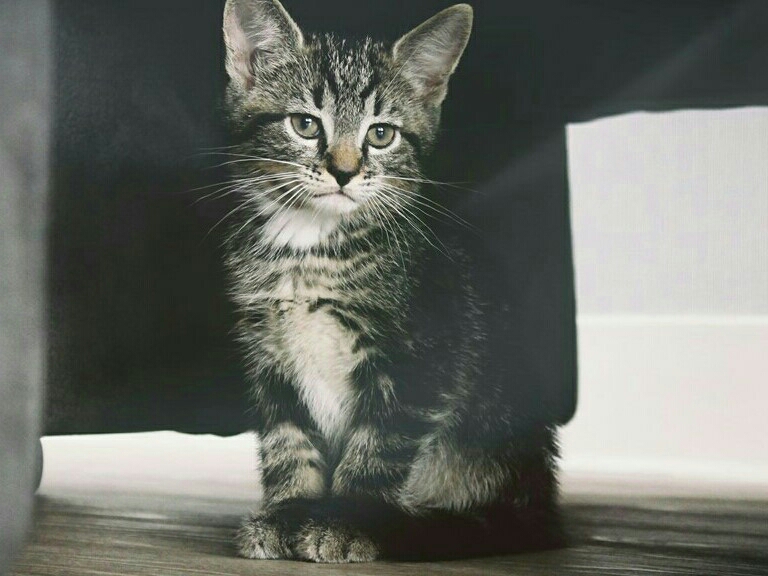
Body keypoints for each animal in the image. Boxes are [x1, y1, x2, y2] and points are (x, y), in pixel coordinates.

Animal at [221, 0, 561, 562]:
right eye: (305, 125)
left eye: (381, 134)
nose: (343, 171)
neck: (313, 246)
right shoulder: (268, 353)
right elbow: (287, 441)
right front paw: (289, 511)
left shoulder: (422, 358)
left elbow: (377, 446)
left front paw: (349, 521)